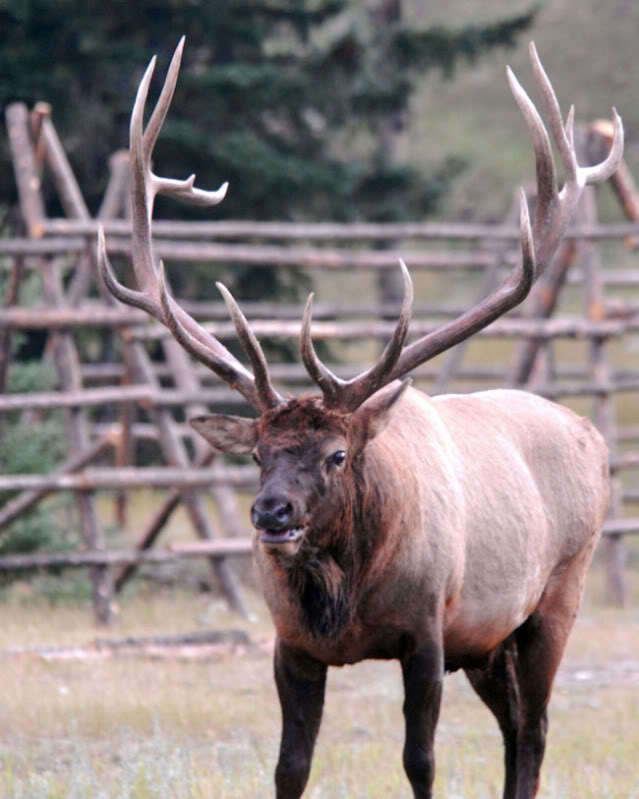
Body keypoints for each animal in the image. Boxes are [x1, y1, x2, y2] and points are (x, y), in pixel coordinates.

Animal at [97, 39, 624, 799]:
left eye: (337, 454)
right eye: (256, 453)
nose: (271, 513)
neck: (344, 600)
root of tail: (591, 434)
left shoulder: (429, 630)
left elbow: (420, 761)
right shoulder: (290, 643)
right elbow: (289, 767)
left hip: (558, 593)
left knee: (535, 731)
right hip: (489, 642)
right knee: (515, 727)